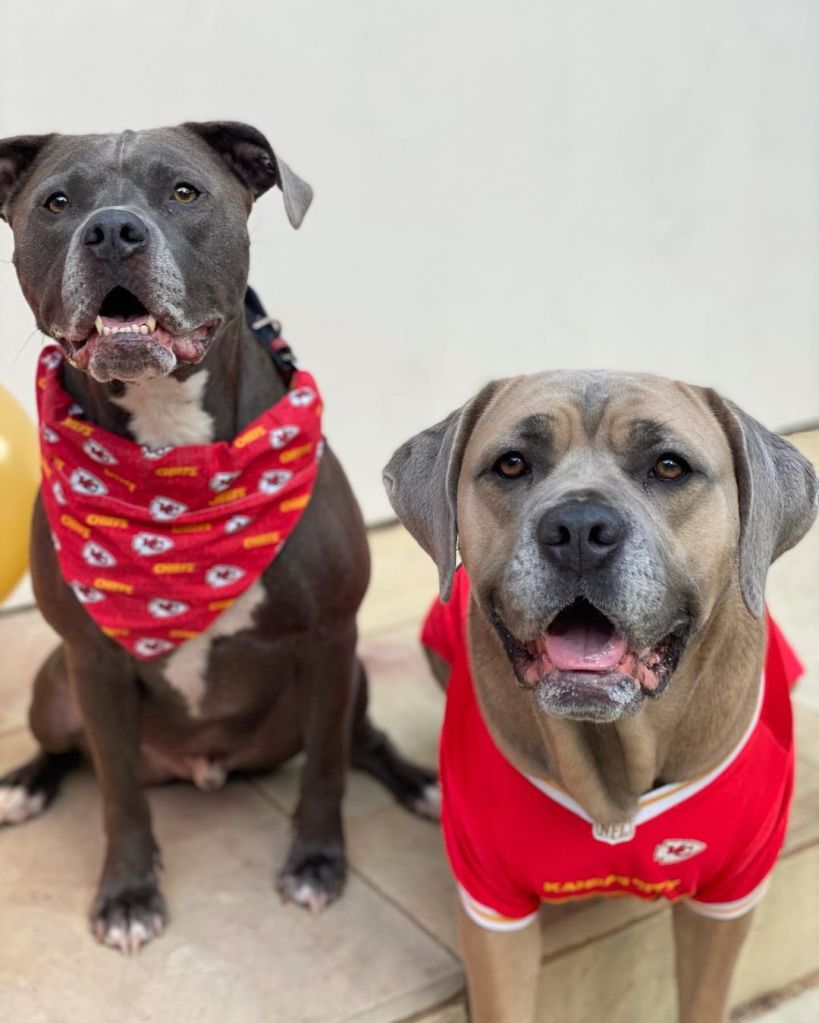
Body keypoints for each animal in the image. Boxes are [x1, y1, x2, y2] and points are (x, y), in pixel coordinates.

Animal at [0, 123, 437, 953]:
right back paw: (24, 785)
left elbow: (326, 767)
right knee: (69, 748)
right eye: (57, 202)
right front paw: (128, 894)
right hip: (53, 684)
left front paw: (317, 861)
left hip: (353, 673)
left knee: (358, 739)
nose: (112, 230)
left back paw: (419, 783)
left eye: (183, 191)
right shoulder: (94, 660)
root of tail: (203, 764)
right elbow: (117, 792)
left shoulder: (331, 636)